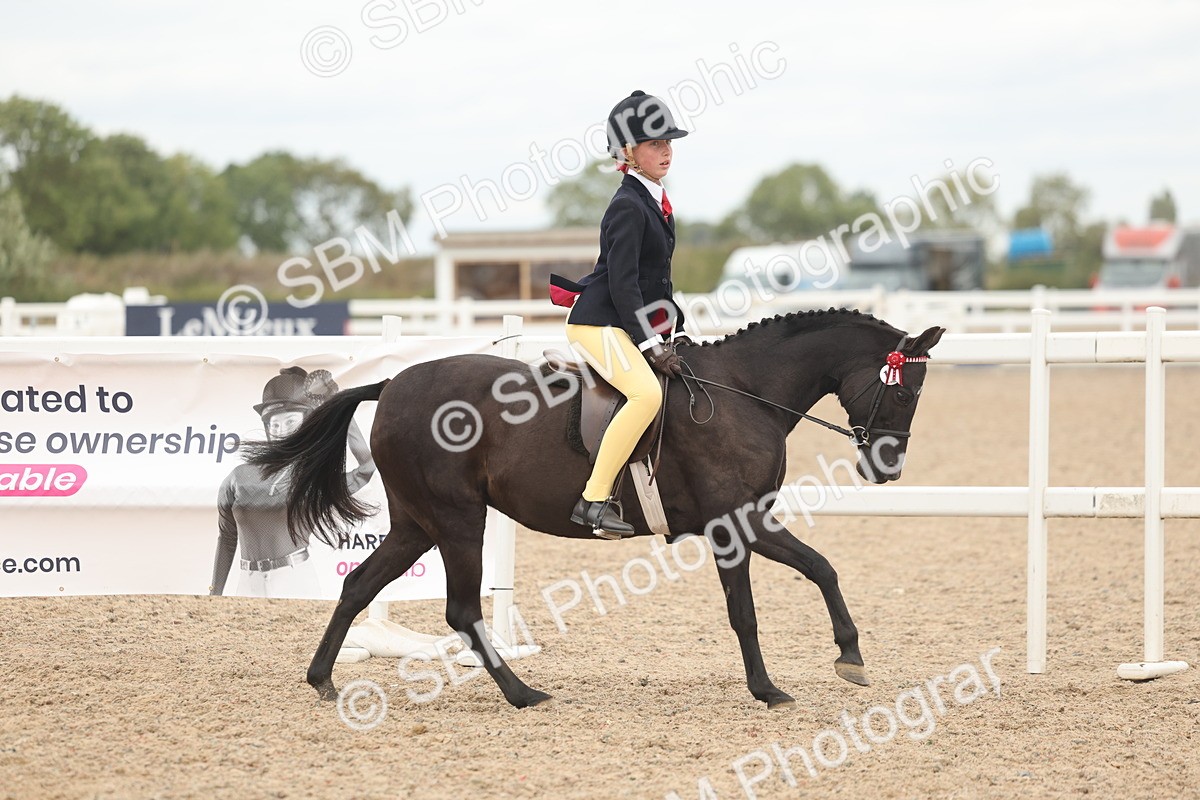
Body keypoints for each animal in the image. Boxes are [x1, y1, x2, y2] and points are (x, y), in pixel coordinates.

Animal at [244, 309, 945, 709]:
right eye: (905, 391)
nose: (886, 467)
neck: (743, 393)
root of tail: (392, 383)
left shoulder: (749, 520)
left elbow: (821, 568)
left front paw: (847, 658)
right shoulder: (733, 524)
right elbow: (750, 608)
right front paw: (772, 688)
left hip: (418, 524)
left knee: (360, 585)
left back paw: (322, 678)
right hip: (458, 520)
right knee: (462, 610)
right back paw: (523, 694)